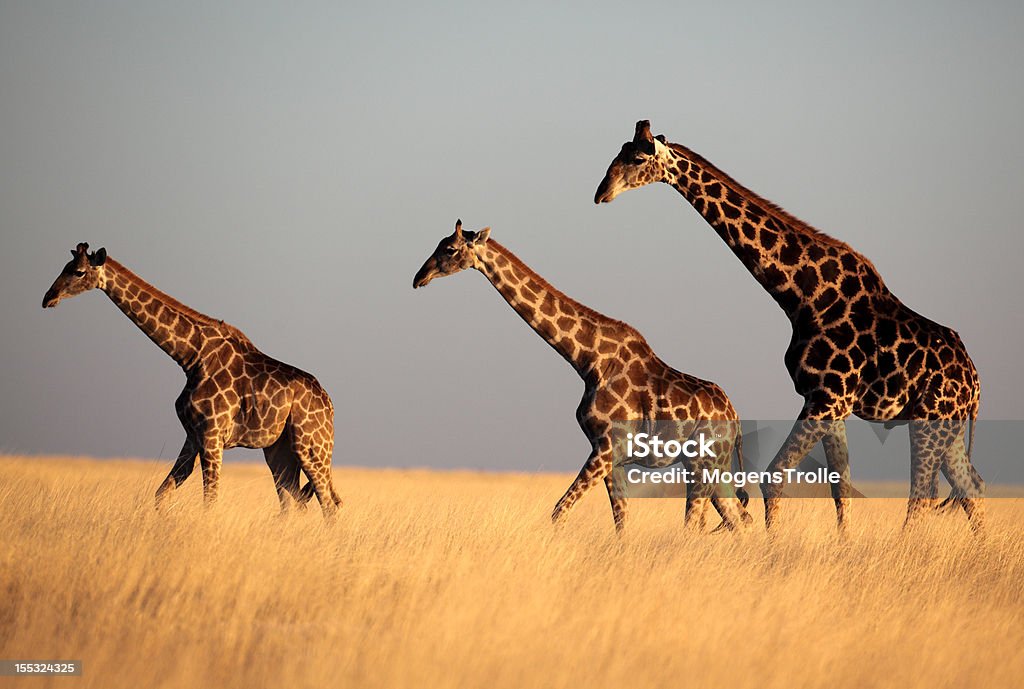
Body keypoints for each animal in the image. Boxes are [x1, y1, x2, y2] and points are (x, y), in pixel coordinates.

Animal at [41, 241, 344, 515]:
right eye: (64, 267)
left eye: (79, 272)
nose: (48, 297)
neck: (190, 356)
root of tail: (329, 405)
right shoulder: (192, 435)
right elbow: (161, 494)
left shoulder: (212, 435)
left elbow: (210, 502)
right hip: (278, 451)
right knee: (294, 503)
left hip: (311, 446)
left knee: (329, 504)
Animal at [411, 220, 757, 532]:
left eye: (449, 249)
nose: (419, 277)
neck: (587, 360)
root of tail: (735, 419)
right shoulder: (611, 457)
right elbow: (621, 521)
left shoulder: (606, 448)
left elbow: (559, 511)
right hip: (713, 467)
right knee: (738, 520)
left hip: (702, 463)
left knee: (696, 525)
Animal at [593, 119, 983, 532]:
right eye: (617, 153)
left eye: (636, 159)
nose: (601, 193)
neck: (800, 297)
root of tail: (975, 385)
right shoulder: (828, 402)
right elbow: (840, 488)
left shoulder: (827, 398)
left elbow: (775, 477)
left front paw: (773, 545)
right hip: (947, 426)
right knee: (969, 486)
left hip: (930, 419)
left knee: (924, 494)